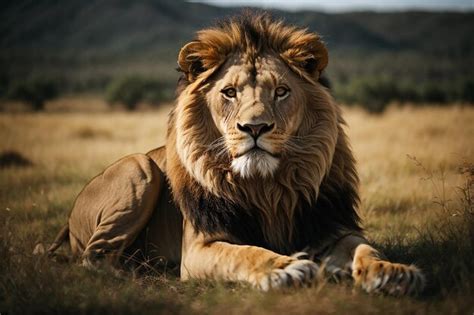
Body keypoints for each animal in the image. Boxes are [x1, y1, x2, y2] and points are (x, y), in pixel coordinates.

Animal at [49, 13, 426, 296]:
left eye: (281, 91)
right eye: (229, 92)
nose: (255, 127)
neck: (267, 189)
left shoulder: (332, 226)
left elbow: (365, 248)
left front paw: (393, 272)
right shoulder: (199, 248)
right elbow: (244, 253)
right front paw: (285, 268)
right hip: (139, 166)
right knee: (94, 257)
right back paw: (138, 272)